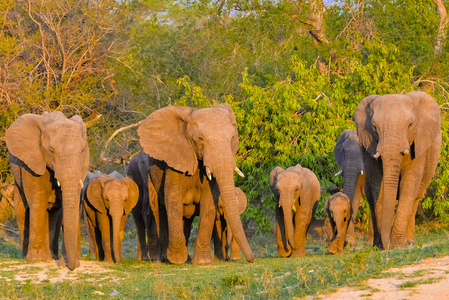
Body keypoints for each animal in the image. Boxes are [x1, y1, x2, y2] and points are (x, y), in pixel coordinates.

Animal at [5, 110, 88, 270]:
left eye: (82, 150)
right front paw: (37, 259)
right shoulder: (32, 162)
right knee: (22, 210)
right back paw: (28, 255)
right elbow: (37, 199)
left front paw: (62, 261)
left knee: (54, 214)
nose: (74, 265)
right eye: (51, 150)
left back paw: (52, 256)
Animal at [136, 103, 254, 264]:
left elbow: (209, 201)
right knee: (157, 210)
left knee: (186, 218)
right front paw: (177, 259)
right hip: (149, 173)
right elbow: (173, 198)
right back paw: (161, 259)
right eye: (200, 138)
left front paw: (202, 262)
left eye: (232, 138)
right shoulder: (176, 159)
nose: (251, 260)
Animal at [354, 90, 440, 250]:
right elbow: (378, 184)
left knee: (416, 197)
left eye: (410, 125)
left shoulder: (419, 142)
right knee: (370, 196)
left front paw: (398, 245)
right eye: (374, 127)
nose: (387, 245)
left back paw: (410, 242)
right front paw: (385, 245)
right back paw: (375, 245)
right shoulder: (370, 144)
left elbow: (409, 183)